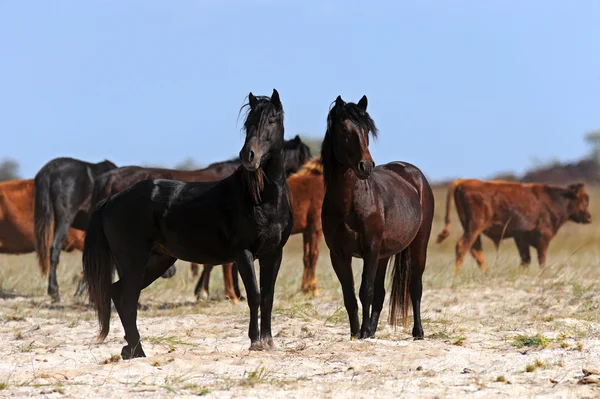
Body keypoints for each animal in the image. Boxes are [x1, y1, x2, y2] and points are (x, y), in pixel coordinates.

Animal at [82, 90, 292, 360]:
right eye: (248, 124)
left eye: (271, 121)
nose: (249, 156)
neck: (261, 199)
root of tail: (111, 200)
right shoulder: (243, 253)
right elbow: (254, 295)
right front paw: (255, 342)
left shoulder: (273, 253)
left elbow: (267, 296)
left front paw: (268, 341)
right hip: (134, 260)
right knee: (127, 299)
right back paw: (138, 350)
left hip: (156, 261)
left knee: (119, 294)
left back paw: (132, 350)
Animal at [196, 155, 326, 302]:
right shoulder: (315, 228)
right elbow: (313, 256)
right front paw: (313, 290)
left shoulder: (307, 231)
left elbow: (306, 258)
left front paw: (305, 289)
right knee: (225, 266)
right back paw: (231, 297)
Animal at [322, 95, 434, 340]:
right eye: (344, 130)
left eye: (366, 130)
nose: (366, 166)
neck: (348, 203)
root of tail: (415, 175)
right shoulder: (338, 255)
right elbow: (350, 296)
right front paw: (357, 334)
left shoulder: (370, 250)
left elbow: (366, 291)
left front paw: (363, 332)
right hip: (384, 254)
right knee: (382, 293)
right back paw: (373, 331)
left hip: (418, 245)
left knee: (415, 287)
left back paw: (418, 332)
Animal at [434, 180, 592, 274]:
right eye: (583, 200)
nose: (589, 217)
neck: (555, 199)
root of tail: (465, 181)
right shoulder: (543, 237)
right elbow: (541, 259)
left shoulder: (521, 239)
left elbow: (526, 259)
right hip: (474, 227)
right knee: (463, 246)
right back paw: (457, 274)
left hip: (472, 229)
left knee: (475, 250)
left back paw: (485, 274)